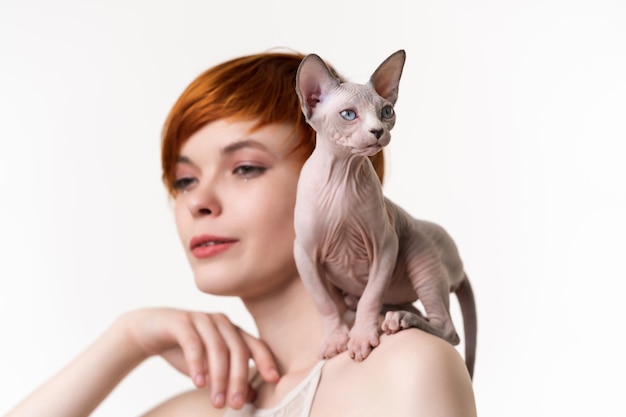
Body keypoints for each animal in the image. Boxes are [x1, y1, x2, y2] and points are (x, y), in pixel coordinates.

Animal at [294, 49, 478, 376]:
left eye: (387, 111)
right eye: (349, 115)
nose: (378, 131)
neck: (343, 176)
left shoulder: (386, 245)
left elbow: (371, 295)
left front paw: (361, 338)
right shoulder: (303, 253)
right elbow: (324, 302)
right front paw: (335, 339)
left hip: (419, 249)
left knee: (449, 330)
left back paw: (402, 320)